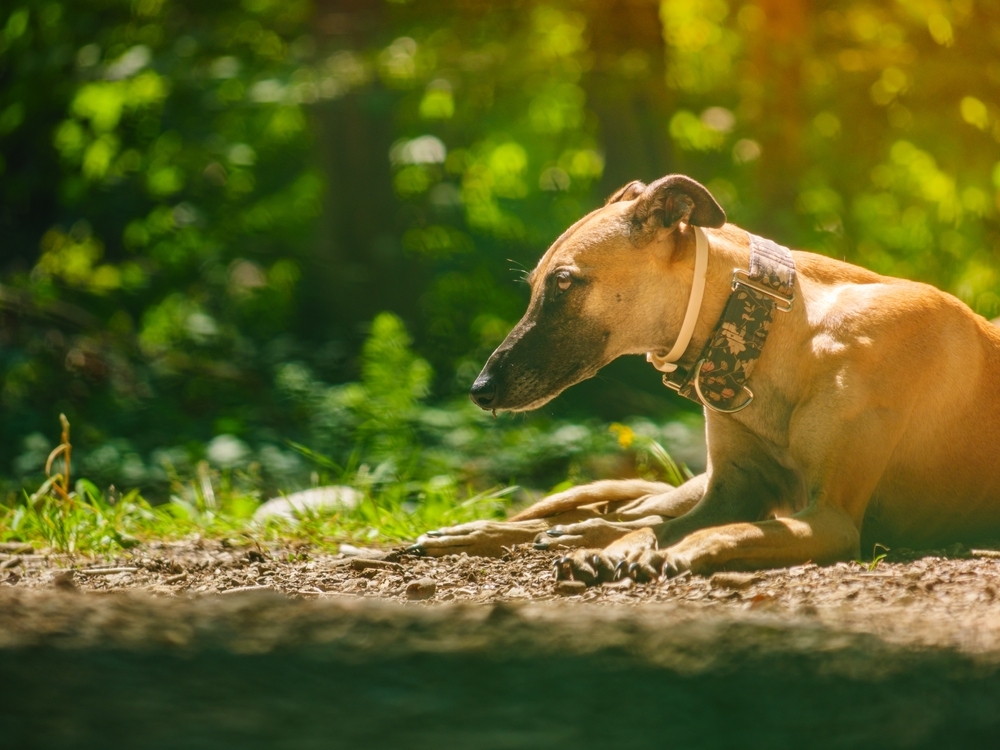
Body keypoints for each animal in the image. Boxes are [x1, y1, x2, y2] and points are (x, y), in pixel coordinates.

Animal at [406, 173, 1000, 584]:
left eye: (564, 282)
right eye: (537, 283)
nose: (480, 392)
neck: (781, 330)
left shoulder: (829, 516)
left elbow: (722, 529)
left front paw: (650, 552)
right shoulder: (728, 492)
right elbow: (666, 524)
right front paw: (618, 549)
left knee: (612, 515)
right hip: (686, 487)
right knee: (614, 511)